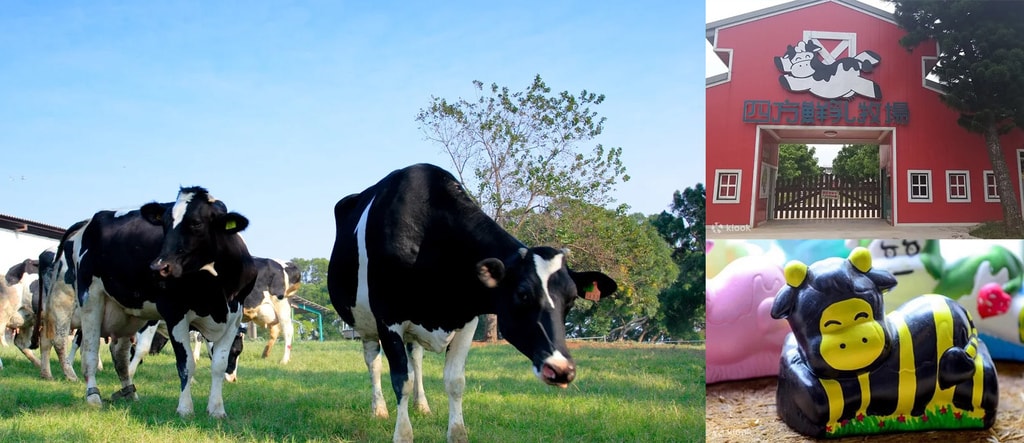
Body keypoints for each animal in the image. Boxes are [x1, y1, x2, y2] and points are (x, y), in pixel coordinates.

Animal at [64, 185, 258, 413]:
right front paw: (185, 409)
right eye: (164, 224)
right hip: (90, 297)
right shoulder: (174, 312)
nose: (158, 267)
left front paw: (217, 409)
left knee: (119, 354)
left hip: (127, 311)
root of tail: (90, 220)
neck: (217, 289)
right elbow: (185, 363)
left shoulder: (234, 314)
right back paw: (93, 395)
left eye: (196, 223)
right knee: (90, 350)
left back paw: (129, 393)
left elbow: (217, 364)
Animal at [327, 162, 614, 441]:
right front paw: (403, 435)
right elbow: (401, 380)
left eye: (571, 300)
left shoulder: (466, 319)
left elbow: (455, 381)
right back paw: (379, 409)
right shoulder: (389, 319)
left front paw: (457, 434)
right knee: (373, 362)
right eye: (523, 294)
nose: (562, 369)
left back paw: (422, 406)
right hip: (364, 322)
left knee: (416, 358)